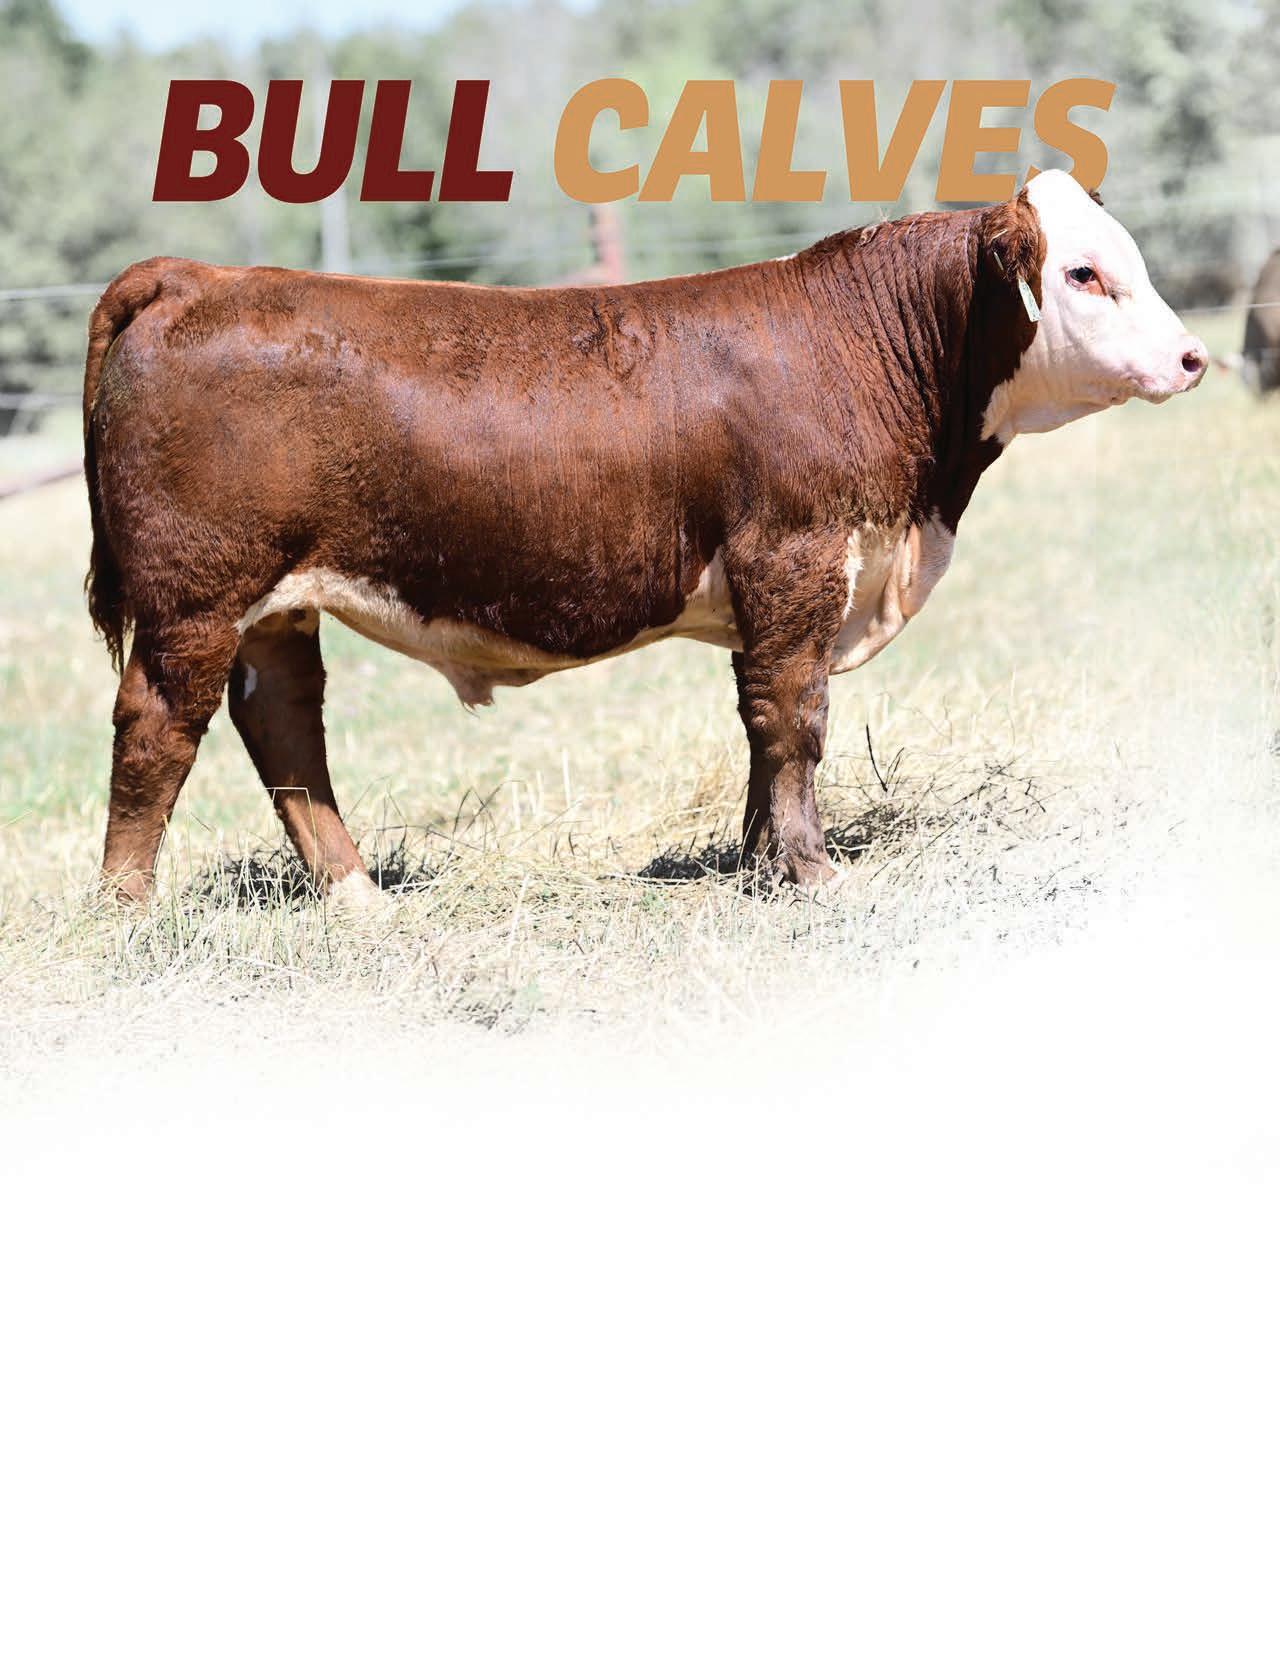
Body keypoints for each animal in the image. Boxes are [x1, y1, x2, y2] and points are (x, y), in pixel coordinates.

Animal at [83, 170, 1206, 903]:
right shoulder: (795, 562)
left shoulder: (781, 594)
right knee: (157, 728)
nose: (1193, 356)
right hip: (195, 599)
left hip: (274, 607)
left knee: (283, 727)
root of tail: (196, 276)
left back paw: (359, 897)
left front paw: (761, 863)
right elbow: (794, 719)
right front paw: (813, 872)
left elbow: (763, 726)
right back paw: (127, 910)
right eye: (1083, 274)